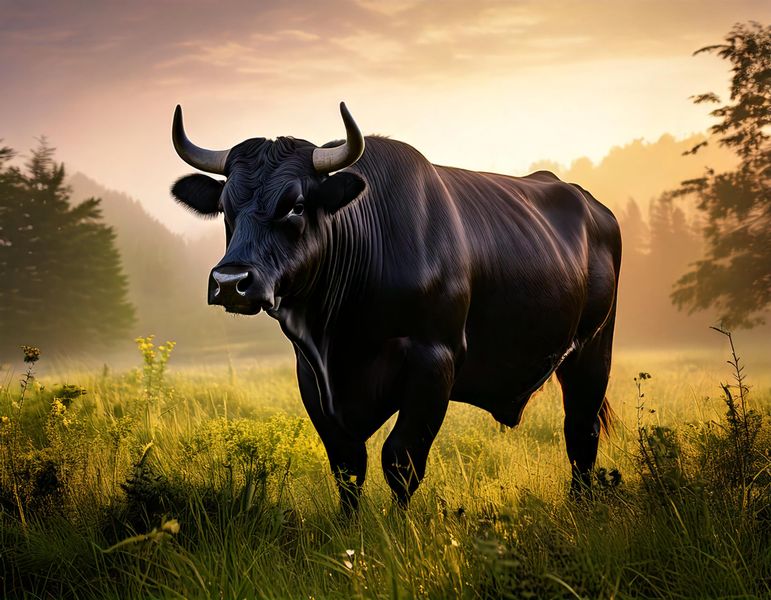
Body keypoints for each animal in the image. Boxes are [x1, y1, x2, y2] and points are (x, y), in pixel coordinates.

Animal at [170, 102, 621, 511]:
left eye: (295, 205)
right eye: (226, 207)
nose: (230, 283)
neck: (339, 335)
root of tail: (591, 204)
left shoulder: (435, 360)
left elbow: (401, 460)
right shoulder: (311, 375)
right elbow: (347, 464)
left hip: (592, 349)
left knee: (581, 432)